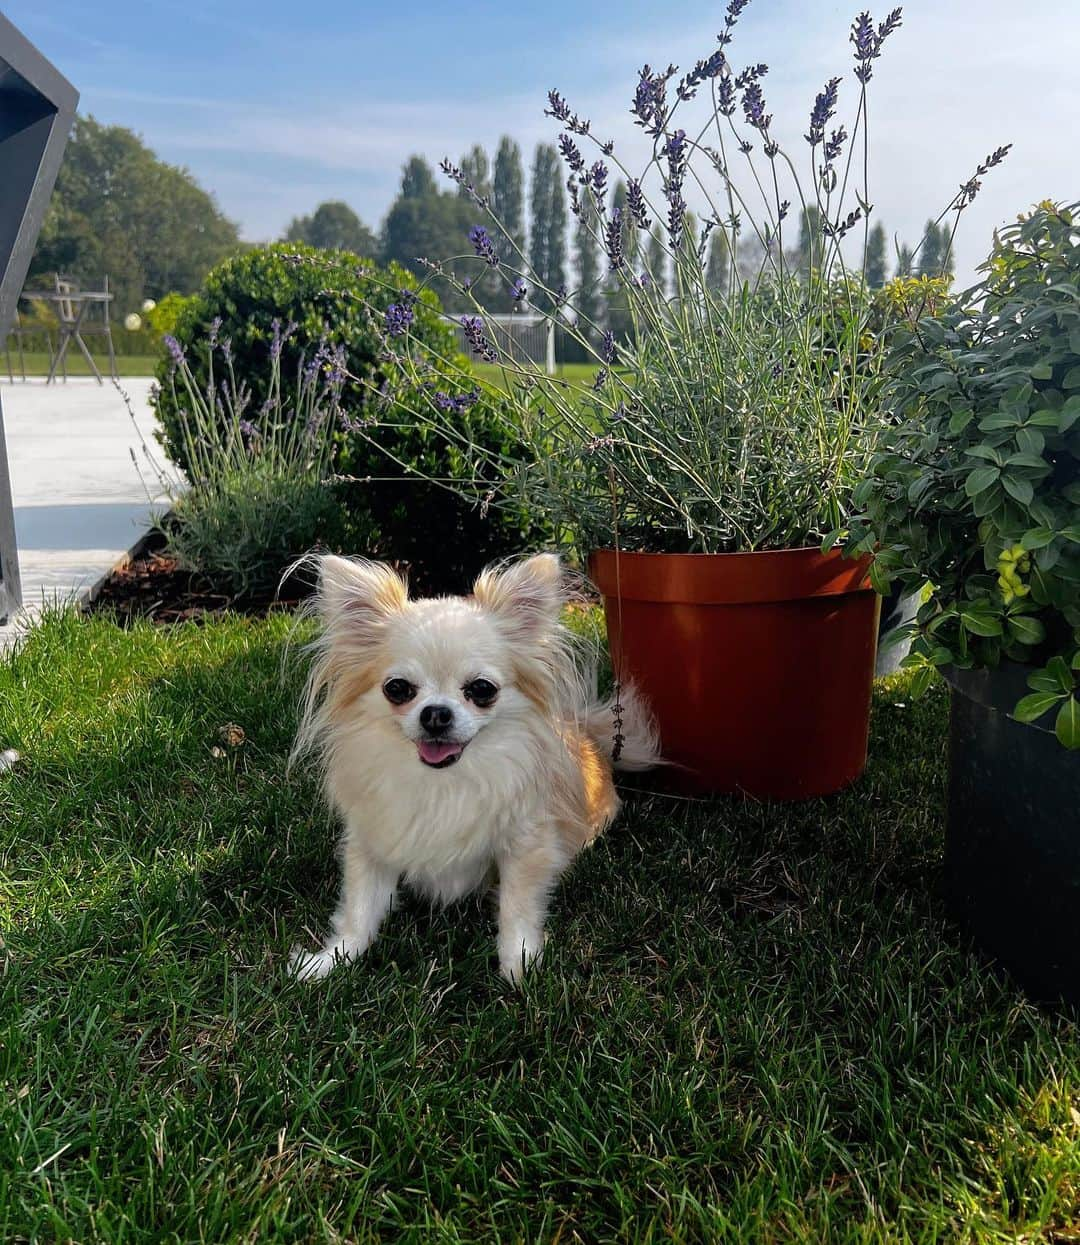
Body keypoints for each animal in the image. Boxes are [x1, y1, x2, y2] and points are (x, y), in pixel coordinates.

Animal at [288, 552, 657, 981]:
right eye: (397, 689)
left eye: (481, 689)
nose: (435, 714)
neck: (445, 782)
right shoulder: (372, 842)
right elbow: (360, 910)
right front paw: (330, 960)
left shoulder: (525, 845)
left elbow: (516, 908)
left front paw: (520, 967)